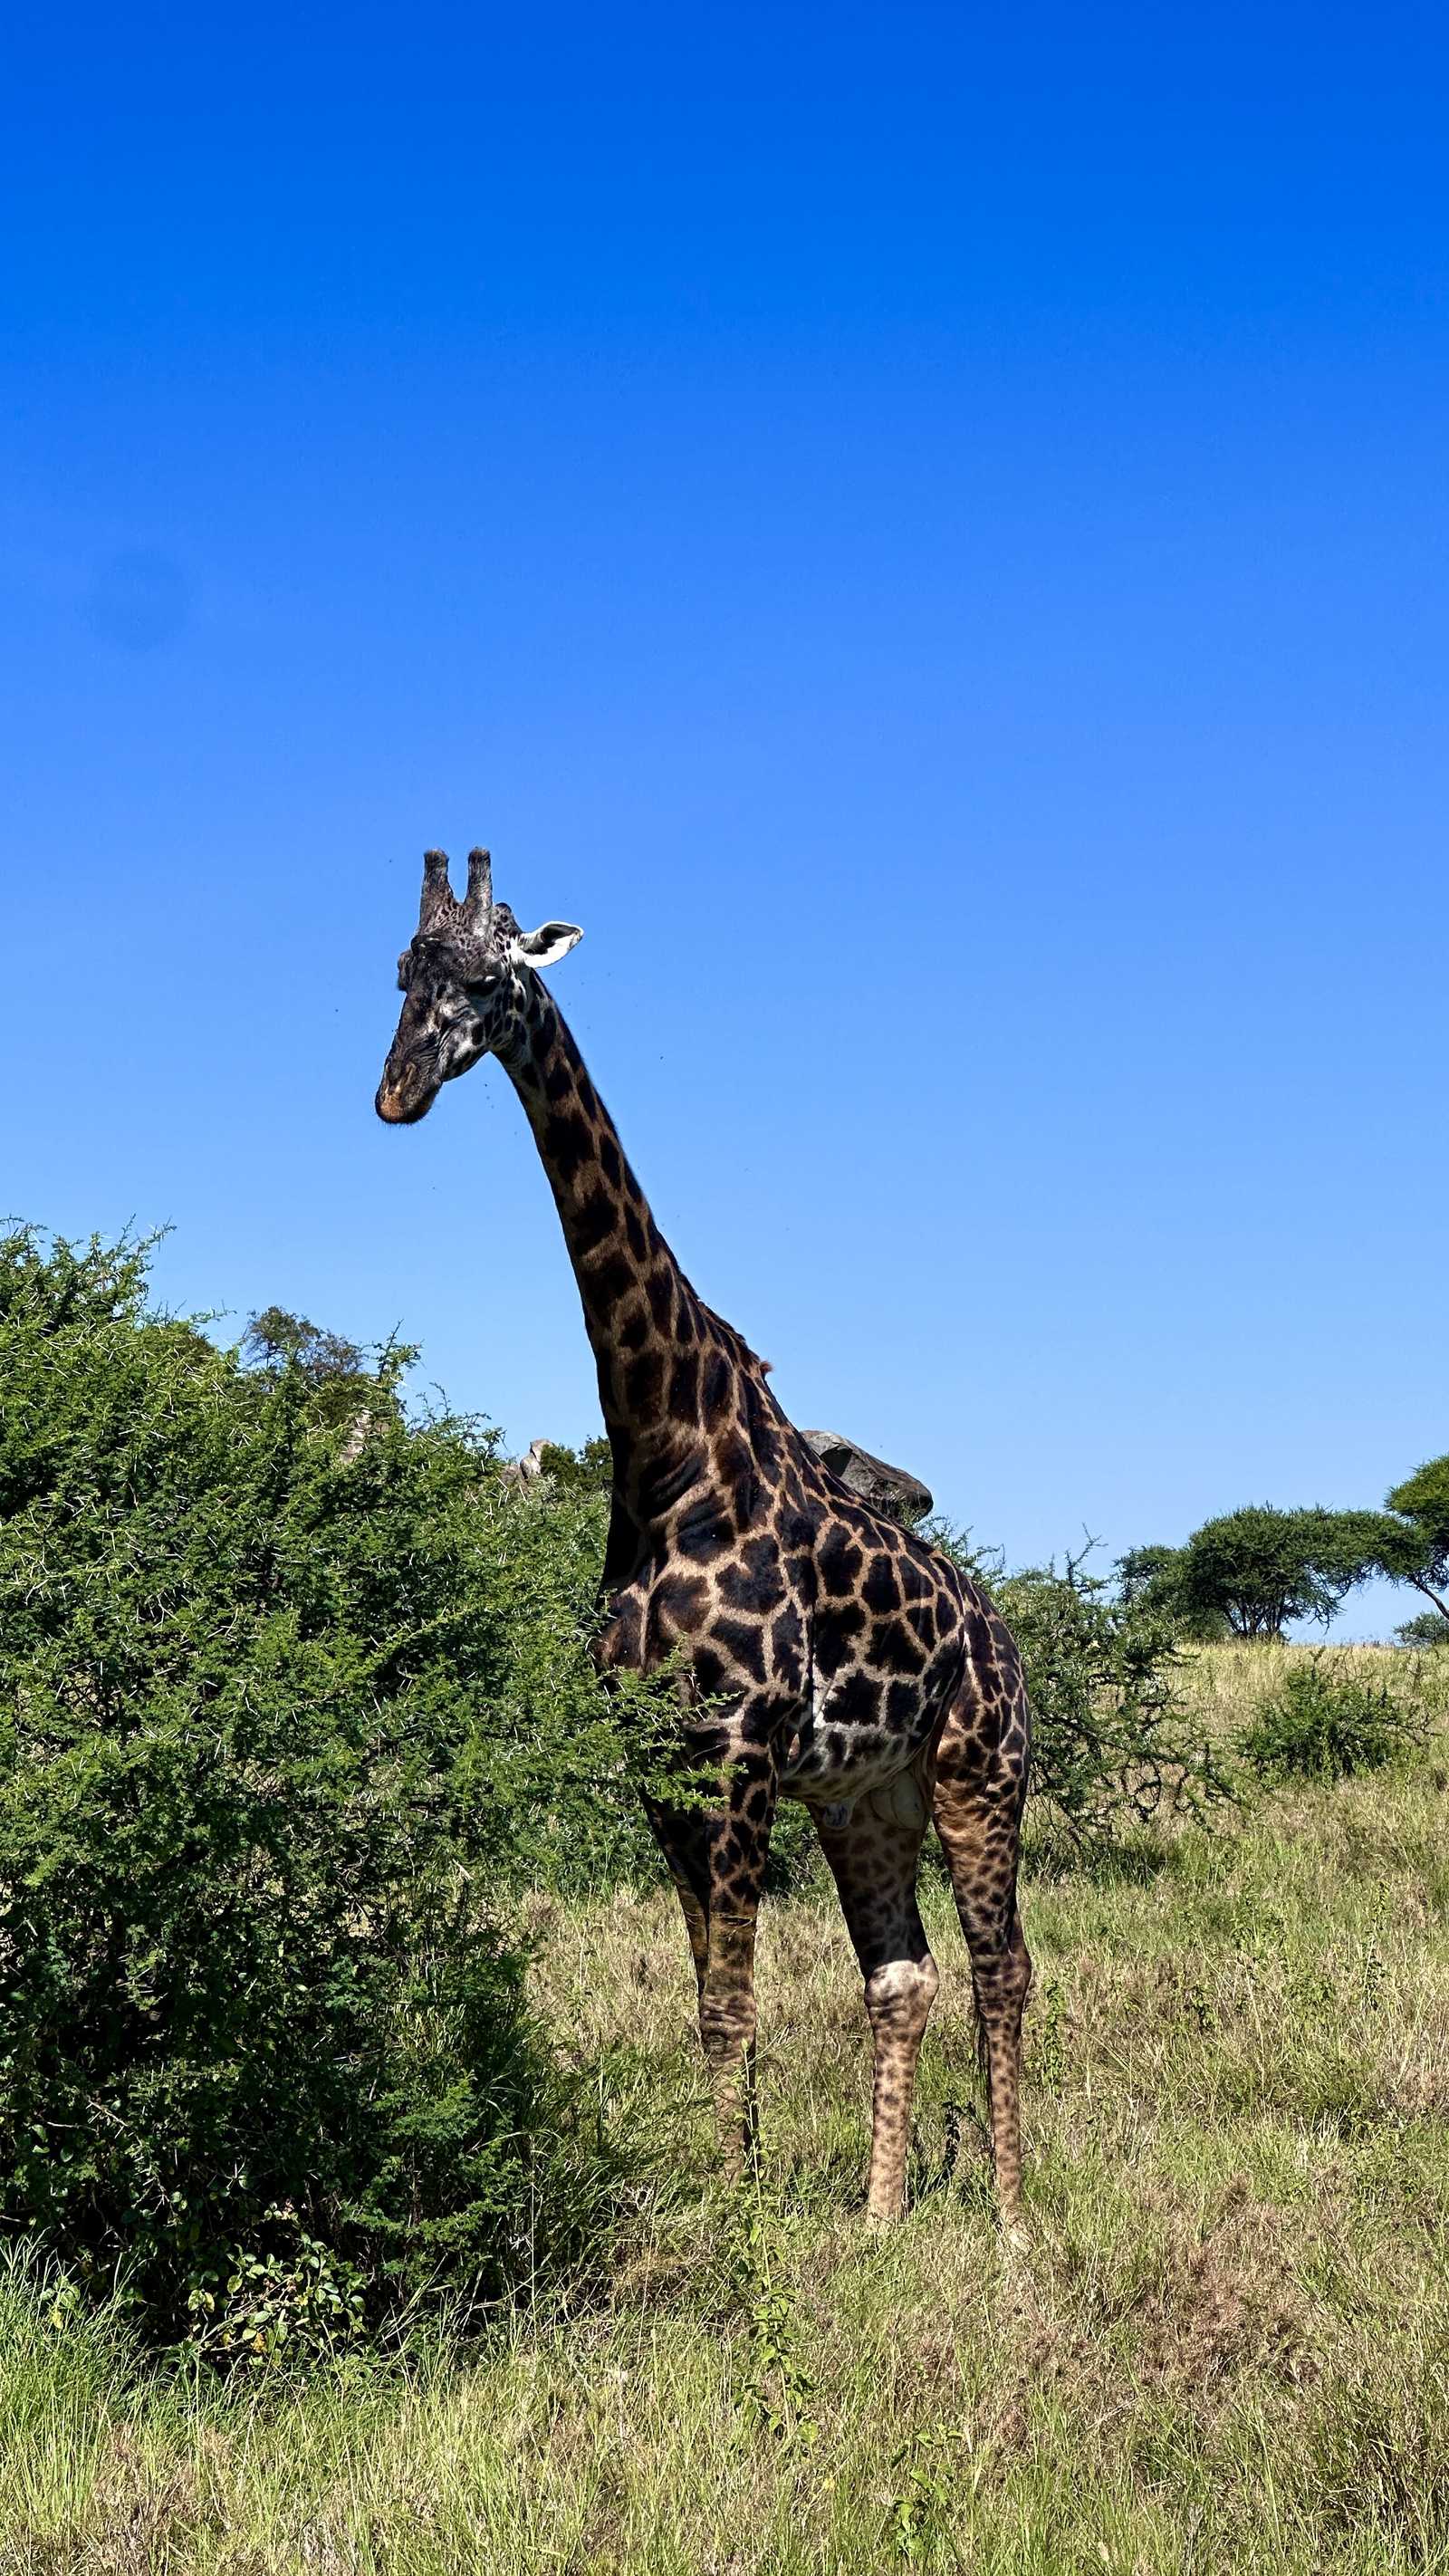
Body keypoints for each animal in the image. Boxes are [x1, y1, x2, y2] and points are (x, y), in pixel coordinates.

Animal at [376, 849, 1033, 2230]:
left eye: (487, 976)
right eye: (403, 972)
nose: (396, 1093)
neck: (665, 1447)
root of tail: (1004, 1637)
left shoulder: (732, 1754)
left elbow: (733, 2008)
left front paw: (733, 2227)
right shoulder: (660, 1764)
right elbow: (710, 2009)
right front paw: (738, 2201)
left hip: (979, 1770)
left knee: (1005, 1971)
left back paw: (1007, 2222)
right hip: (868, 1796)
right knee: (904, 1977)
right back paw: (881, 2219)